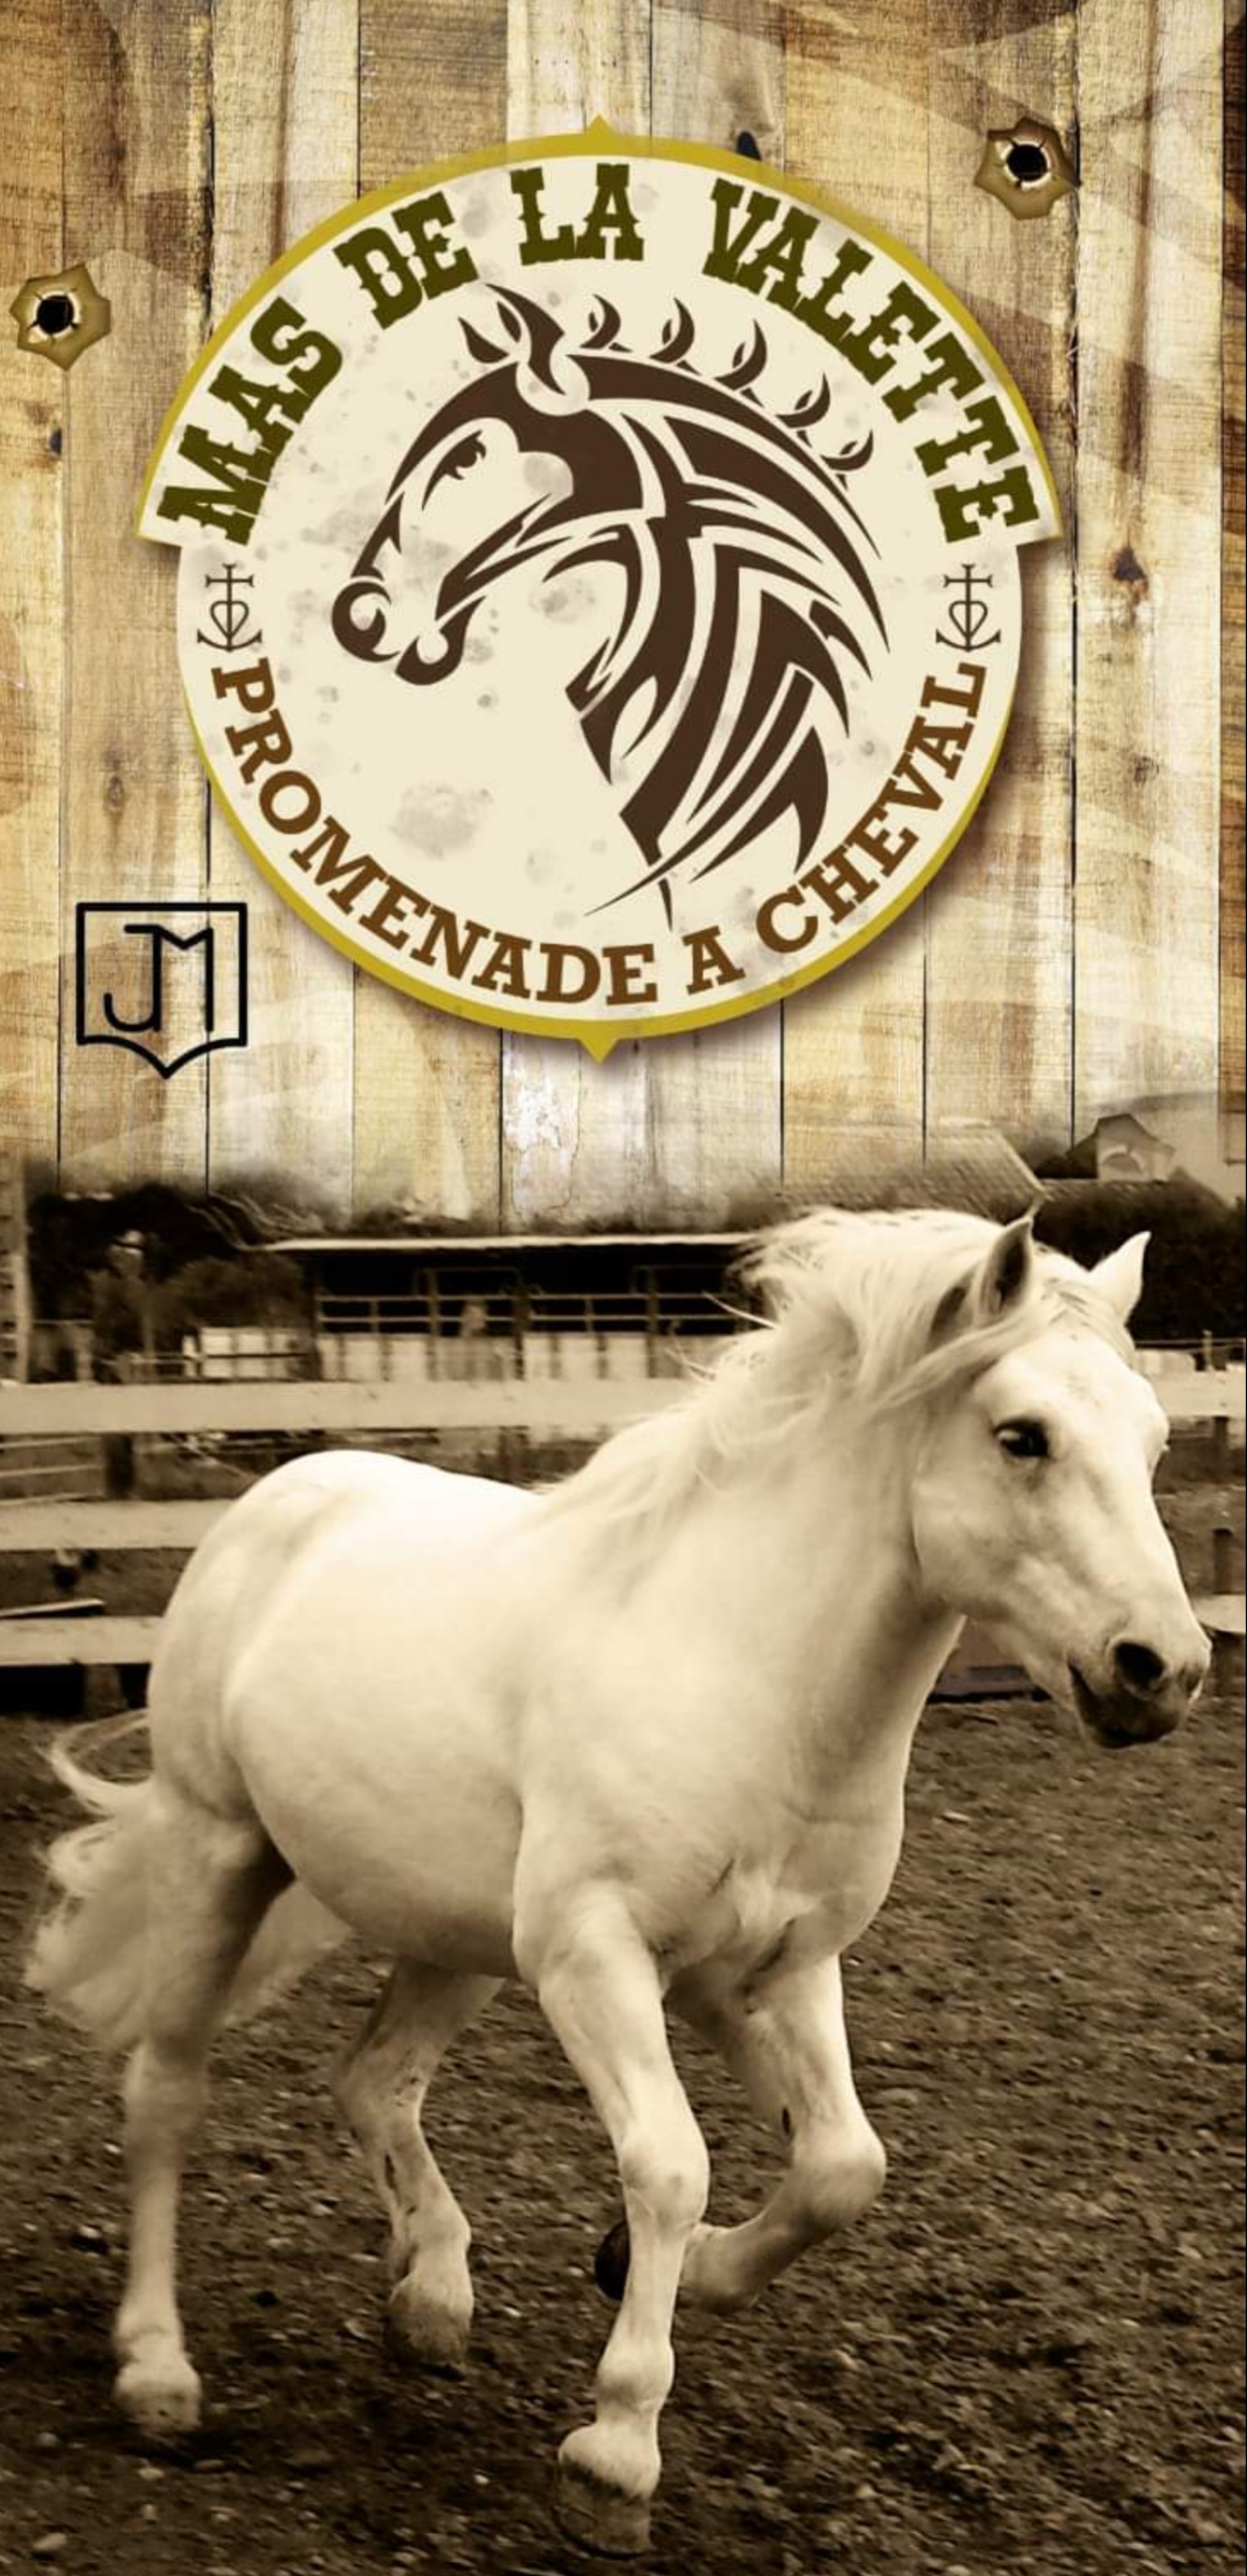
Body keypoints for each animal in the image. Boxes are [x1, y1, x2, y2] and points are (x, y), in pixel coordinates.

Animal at [26, 1209, 1209, 2556]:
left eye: (1154, 1438)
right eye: (1021, 1436)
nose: (1161, 1671)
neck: (750, 1680)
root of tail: (277, 1496)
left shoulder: (778, 1968)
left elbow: (840, 2166)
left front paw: (671, 2271)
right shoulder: (596, 1958)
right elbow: (671, 2166)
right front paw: (612, 2454)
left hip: (456, 1936)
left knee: (374, 2081)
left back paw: (431, 2296)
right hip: (222, 1855)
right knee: (166, 2095)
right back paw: (158, 2372)